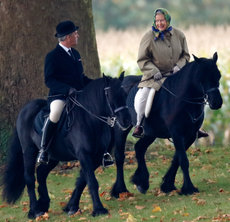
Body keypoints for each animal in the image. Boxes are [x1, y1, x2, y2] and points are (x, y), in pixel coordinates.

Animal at [0, 73, 131, 218]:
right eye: (111, 96)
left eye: (124, 95)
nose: (127, 121)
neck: (89, 119)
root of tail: (24, 109)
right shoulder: (84, 154)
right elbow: (92, 181)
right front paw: (98, 209)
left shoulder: (96, 156)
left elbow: (82, 181)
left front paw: (72, 207)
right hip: (29, 150)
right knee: (29, 178)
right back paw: (35, 211)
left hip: (53, 156)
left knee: (41, 172)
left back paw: (44, 203)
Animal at [109, 52, 223, 198]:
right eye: (202, 77)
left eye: (218, 75)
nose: (217, 102)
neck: (183, 100)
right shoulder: (176, 133)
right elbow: (183, 160)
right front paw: (189, 188)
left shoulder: (190, 135)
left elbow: (177, 159)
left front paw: (168, 185)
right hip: (121, 128)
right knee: (119, 156)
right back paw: (120, 190)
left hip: (150, 132)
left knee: (139, 148)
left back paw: (142, 182)